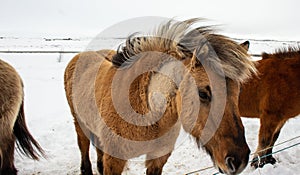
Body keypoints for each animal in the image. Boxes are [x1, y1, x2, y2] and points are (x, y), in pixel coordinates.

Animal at [64, 18, 256, 174]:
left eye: (238, 92)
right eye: (203, 93)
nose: (239, 160)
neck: (146, 110)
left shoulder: (158, 159)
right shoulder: (115, 160)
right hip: (79, 122)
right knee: (83, 146)